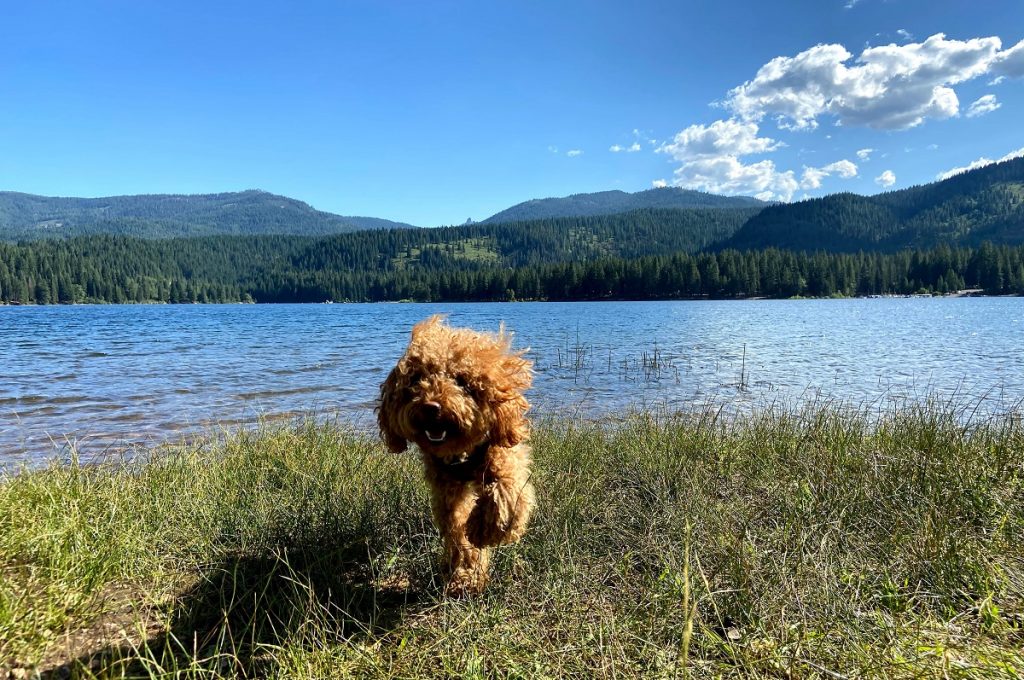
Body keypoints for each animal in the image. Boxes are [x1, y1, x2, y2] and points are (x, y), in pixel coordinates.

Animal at [376, 315, 536, 593]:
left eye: (461, 381)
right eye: (416, 379)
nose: (431, 407)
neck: (461, 454)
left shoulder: (505, 460)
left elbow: (506, 495)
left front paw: (483, 530)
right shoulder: (448, 491)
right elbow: (457, 530)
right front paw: (465, 574)